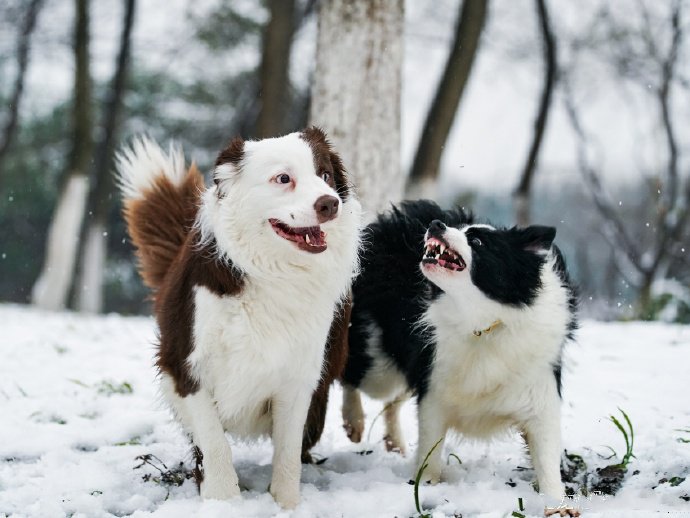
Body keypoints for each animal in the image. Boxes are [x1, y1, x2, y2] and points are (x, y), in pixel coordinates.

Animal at [117, 128, 360, 510]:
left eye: (325, 175)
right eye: (283, 178)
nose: (330, 204)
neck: (272, 272)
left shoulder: (300, 376)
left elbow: (288, 451)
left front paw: (286, 505)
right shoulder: (187, 365)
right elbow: (214, 441)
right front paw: (222, 500)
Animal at [340, 202, 576, 504]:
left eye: (477, 242)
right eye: (461, 231)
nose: (436, 224)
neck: (485, 325)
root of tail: (391, 221)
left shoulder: (539, 387)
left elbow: (546, 454)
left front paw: (556, 502)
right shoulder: (434, 387)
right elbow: (430, 447)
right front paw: (425, 485)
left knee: (392, 401)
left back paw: (394, 443)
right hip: (380, 367)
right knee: (352, 375)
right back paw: (354, 421)